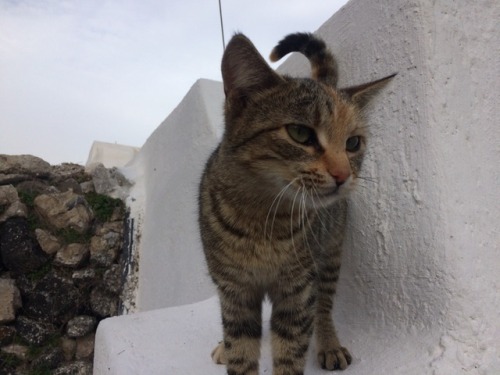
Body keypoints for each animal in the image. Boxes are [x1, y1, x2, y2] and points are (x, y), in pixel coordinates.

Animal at [199, 32, 394, 375]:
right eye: (300, 133)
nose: (343, 174)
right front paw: (230, 349)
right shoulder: (235, 291)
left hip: (329, 254)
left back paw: (329, 343)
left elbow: (291, 351)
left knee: (324, 305)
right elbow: (240, 351)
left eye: (353, 143)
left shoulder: (298, 289)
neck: (263, 217)